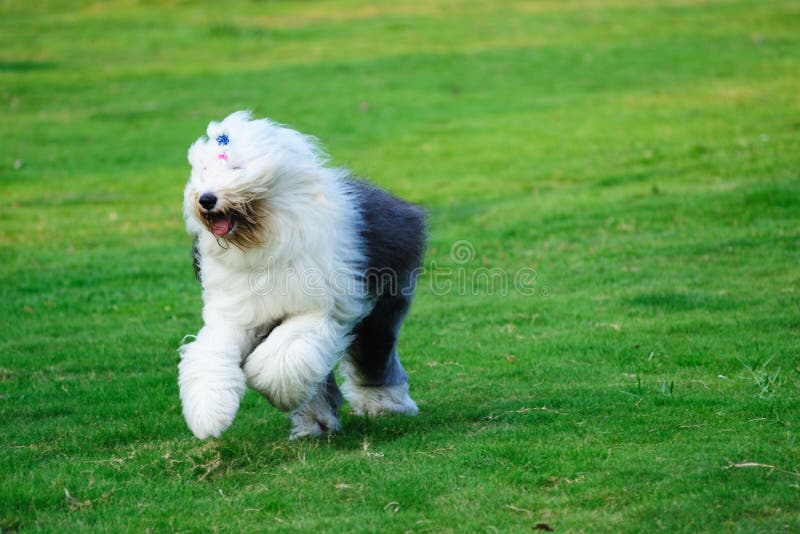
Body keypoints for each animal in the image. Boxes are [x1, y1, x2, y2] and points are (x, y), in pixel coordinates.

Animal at [175, 111, 424, 442]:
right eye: (203, 171)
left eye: (236, 168)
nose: (205, 199)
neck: (265, 242)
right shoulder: (236, 313)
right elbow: (210, 354)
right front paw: (208, 414)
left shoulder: (316, 311)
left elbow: (281, 358)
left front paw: (263, 381)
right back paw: (314, 423)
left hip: (382, 304)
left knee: (374, 352)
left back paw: (385, 403)